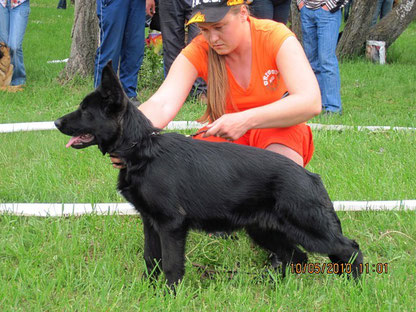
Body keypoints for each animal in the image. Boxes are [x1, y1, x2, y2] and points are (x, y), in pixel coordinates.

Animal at [54, 62, 360, 286]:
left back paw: (353, 285)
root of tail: (310, 177)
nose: (56, 122)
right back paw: (274, 283)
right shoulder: (150, 223)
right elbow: (151, 259)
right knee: (296, 256)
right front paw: (148, 290)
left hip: (308, 228)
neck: (141, 147)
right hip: (263, 230)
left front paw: (168, 295)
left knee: (349, 248)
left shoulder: (171, 225)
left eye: (85, 110)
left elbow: (171, 265)